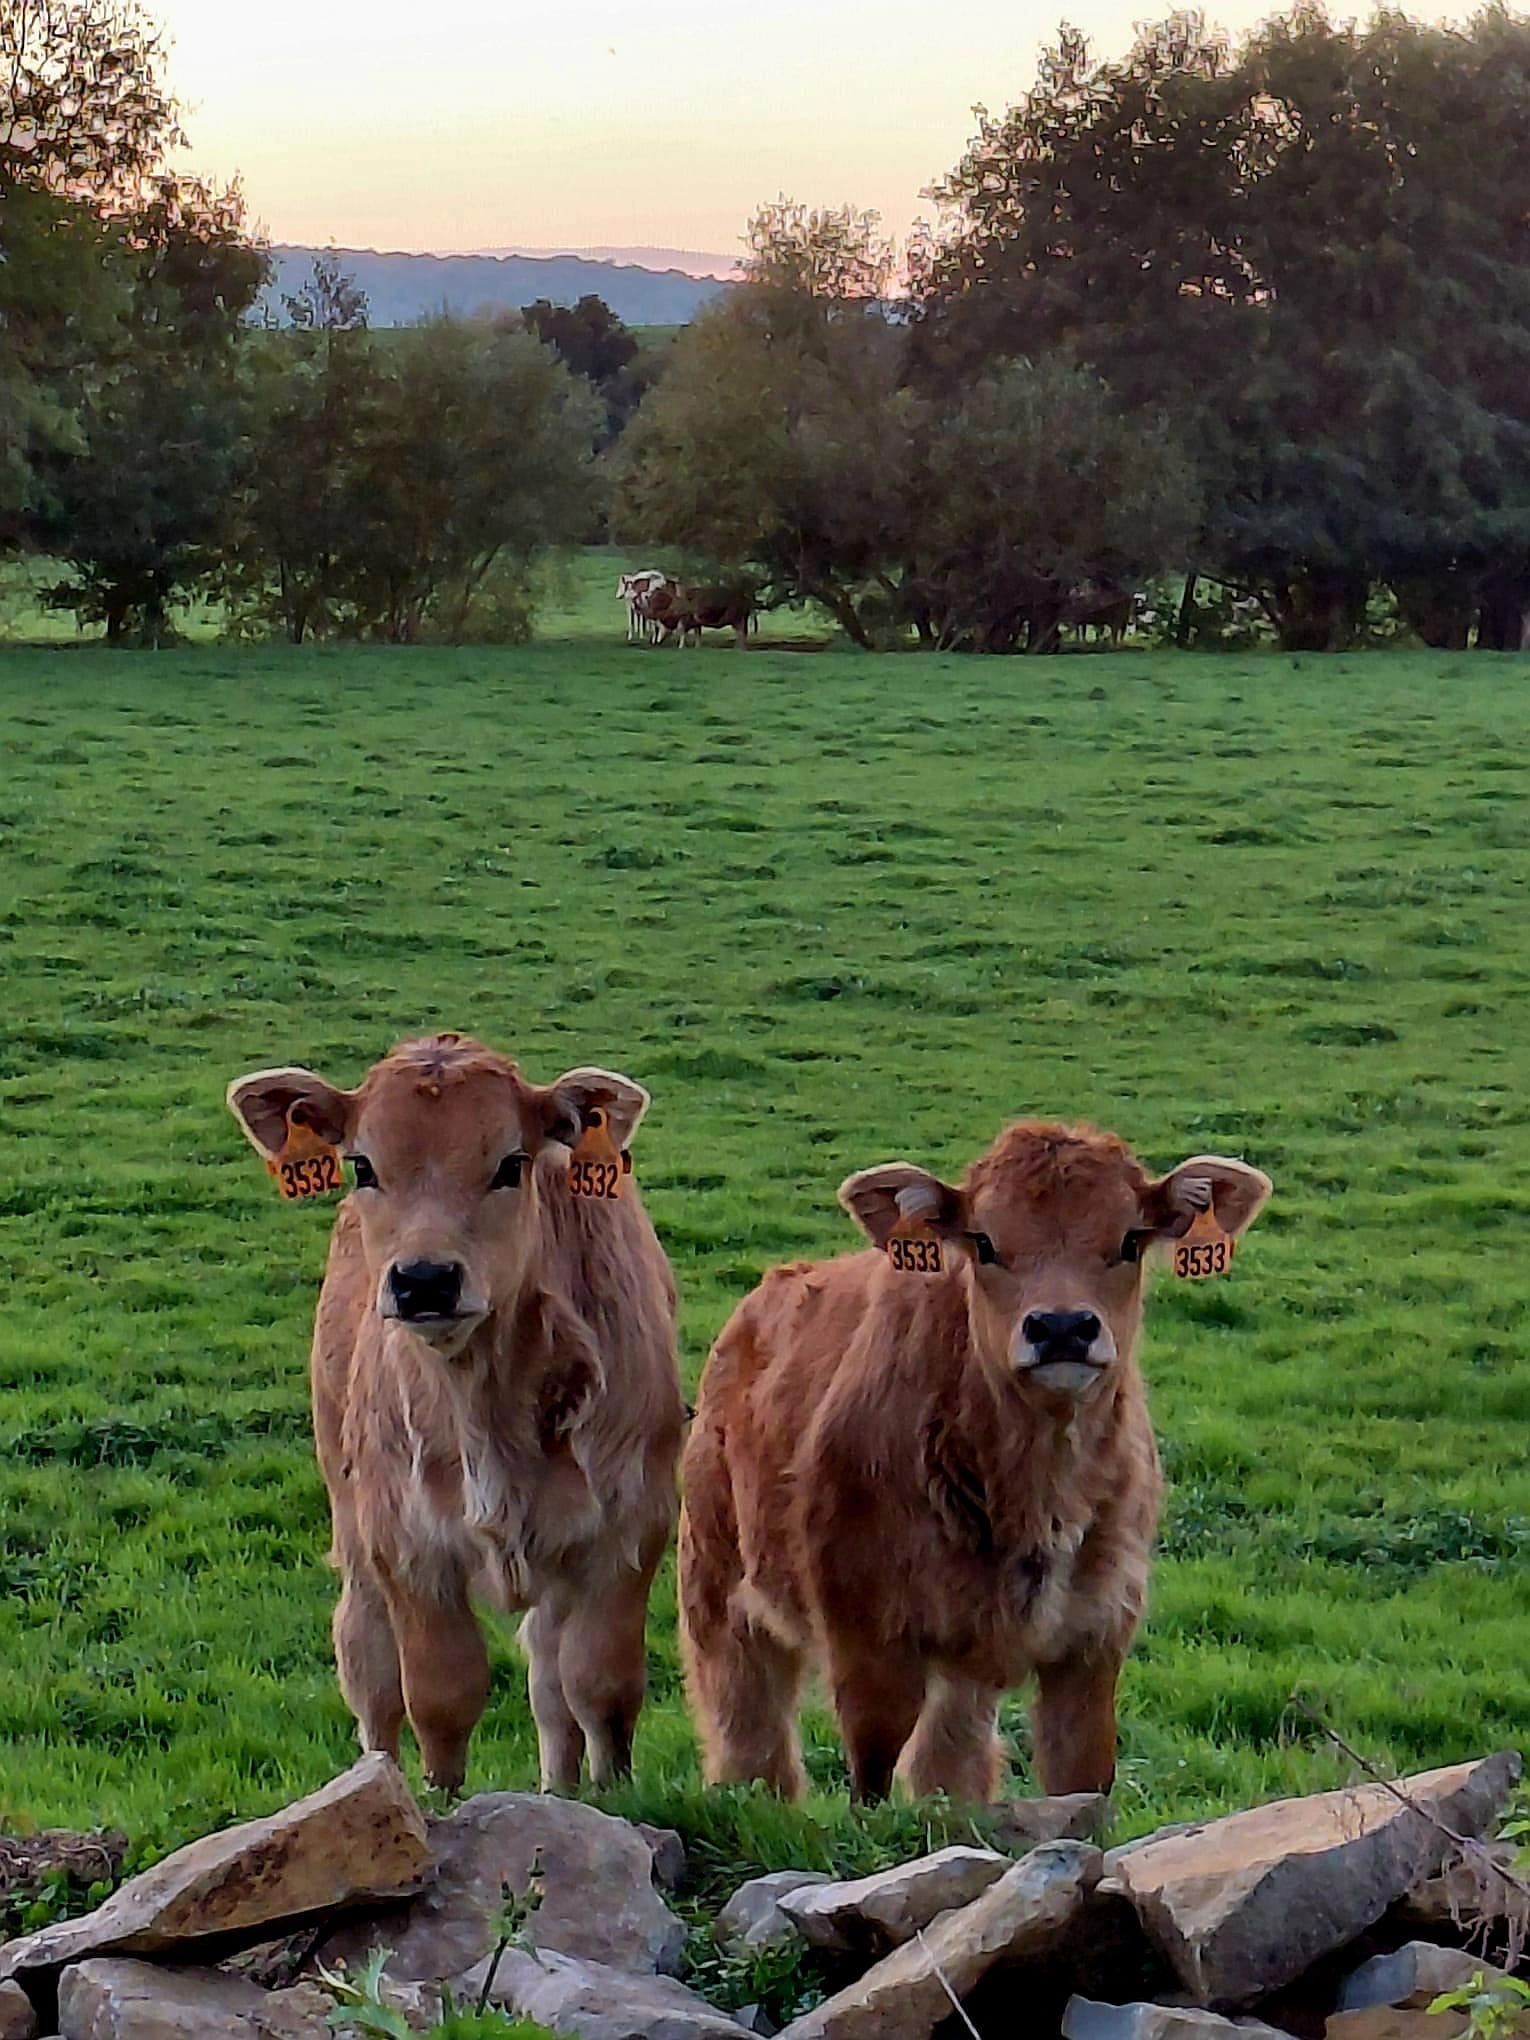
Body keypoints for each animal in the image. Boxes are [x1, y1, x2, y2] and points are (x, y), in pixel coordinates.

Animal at [226, 1034, 684, 1795]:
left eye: (510, 1163)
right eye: (362, 1164)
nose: (425, 1280)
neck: (486, 1403)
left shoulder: (628, 1529)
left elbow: (600, 1688)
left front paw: (606, 1798)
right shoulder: (406, 1543)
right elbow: (441, 1696)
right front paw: (436, 1804)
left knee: (550, 1685)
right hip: (353, 1527)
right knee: (370, 1671)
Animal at [679, 1121, 1271, 1805]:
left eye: (1130, 1239)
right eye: (984, 1242)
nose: (1062, 1327)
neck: (1036, 1496)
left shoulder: (1094, 1640)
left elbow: (1079, 1782)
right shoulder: (867, 1640)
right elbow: (870, 1781)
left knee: (950, 1756)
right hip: (716, 1582)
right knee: (749, 1725)